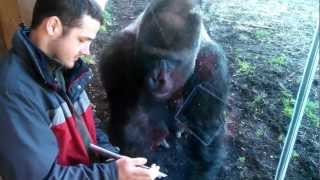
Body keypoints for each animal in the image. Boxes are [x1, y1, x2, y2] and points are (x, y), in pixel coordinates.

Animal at [99, 0, 228, 179]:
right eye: (151, 56)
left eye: (174, 60)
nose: (158, 78)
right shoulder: (116, 52)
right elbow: (131, 122)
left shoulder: (213, 64)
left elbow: (206, 130)